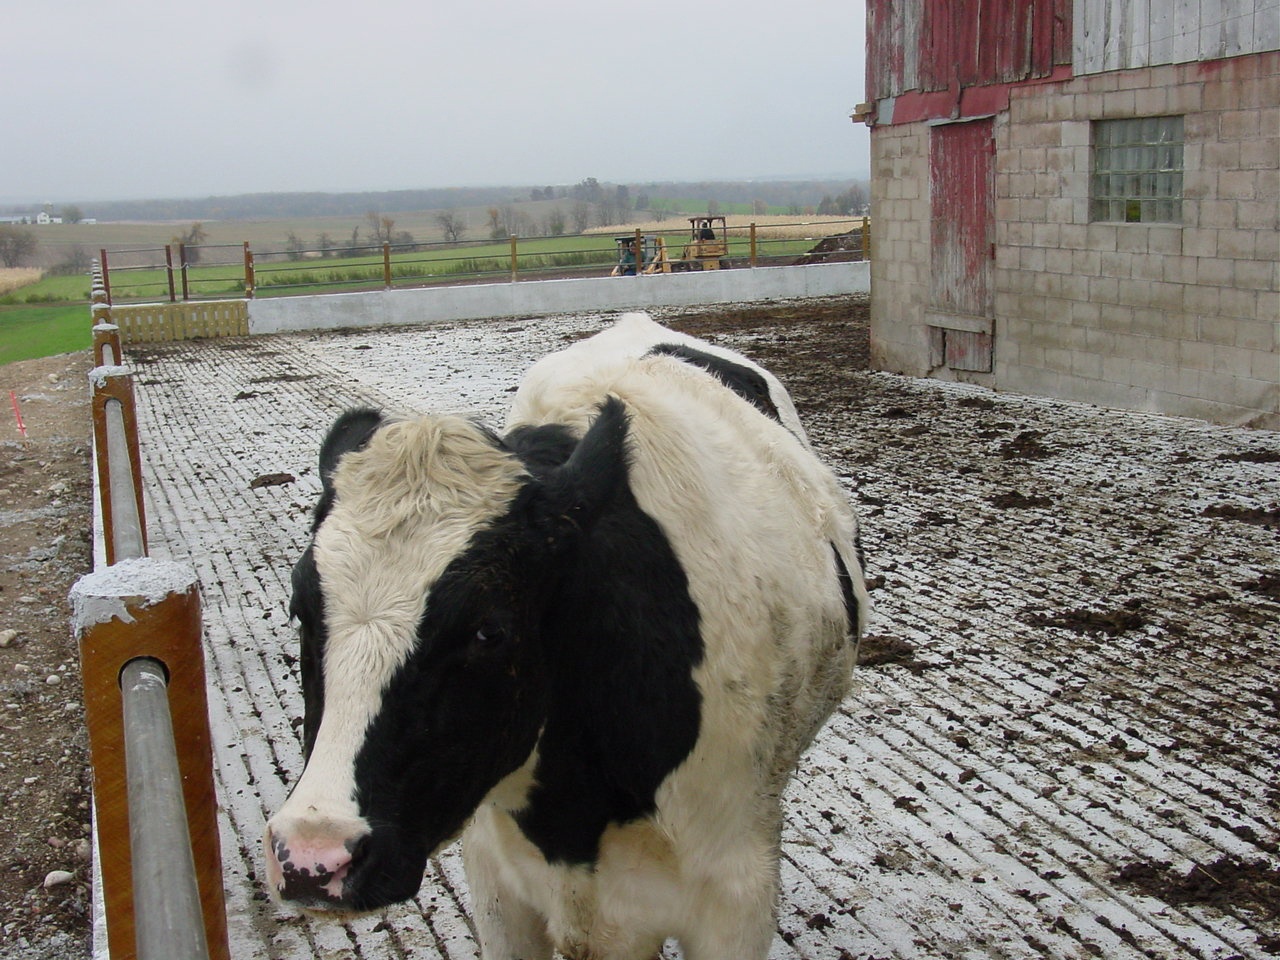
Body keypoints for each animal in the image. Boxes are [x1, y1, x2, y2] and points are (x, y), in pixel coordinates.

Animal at [263, 313, 865, 960]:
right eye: (300, 608)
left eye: (489, 628)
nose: (312, 858)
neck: (574, 816)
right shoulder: (497, 881)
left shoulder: (736, 897)